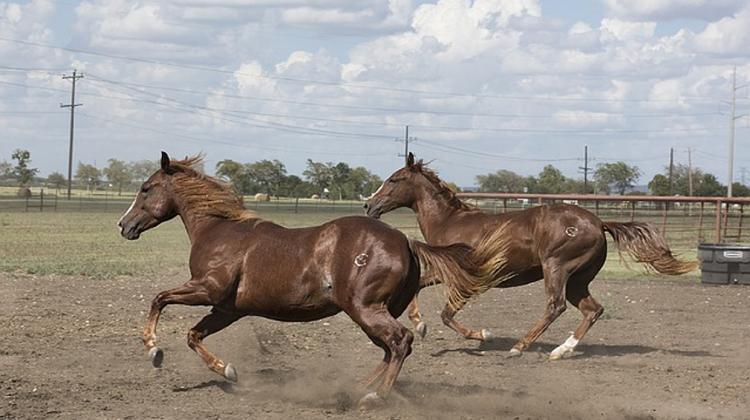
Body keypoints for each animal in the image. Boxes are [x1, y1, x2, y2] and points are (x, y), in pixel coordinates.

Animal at [117, 152, 485, 408]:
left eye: (146, 189)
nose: (124, 225)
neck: (217, 230)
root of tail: (406, 242)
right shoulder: (227, 309)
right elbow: (193, 335)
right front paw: (226, 370)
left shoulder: (208, 289)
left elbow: (159, 298)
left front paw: (154, 350)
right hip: (371, 312)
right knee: (389, 348)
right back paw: (356, 388)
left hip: (365, 308)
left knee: (400, 341)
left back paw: (374, 396)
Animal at [364, 153, 698, 360]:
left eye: (394, 180)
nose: (369, 206)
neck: (450, 222)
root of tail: (598, 222)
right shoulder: (451, 272)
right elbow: (420, 285)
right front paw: (420, 325)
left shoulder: (468, 279)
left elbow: (447, 314)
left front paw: (483, 335)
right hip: (578, 280)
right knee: (593, 309)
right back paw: (561, 351)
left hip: (557, 268)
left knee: (556, 306)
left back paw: (519, 347)